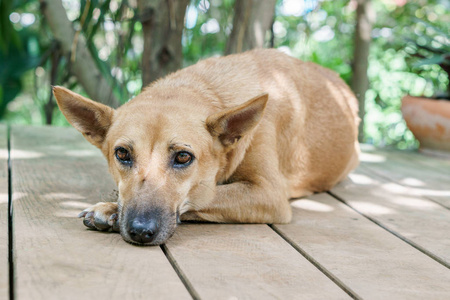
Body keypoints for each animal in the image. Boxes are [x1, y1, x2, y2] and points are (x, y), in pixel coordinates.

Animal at [53, 49, 358, 245]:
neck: (207, 88)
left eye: (183, 157)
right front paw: (111, 208)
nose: (140, 231)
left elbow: (206, 196)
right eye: (122, 154)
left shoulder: (268, 192)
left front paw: (111, 210)